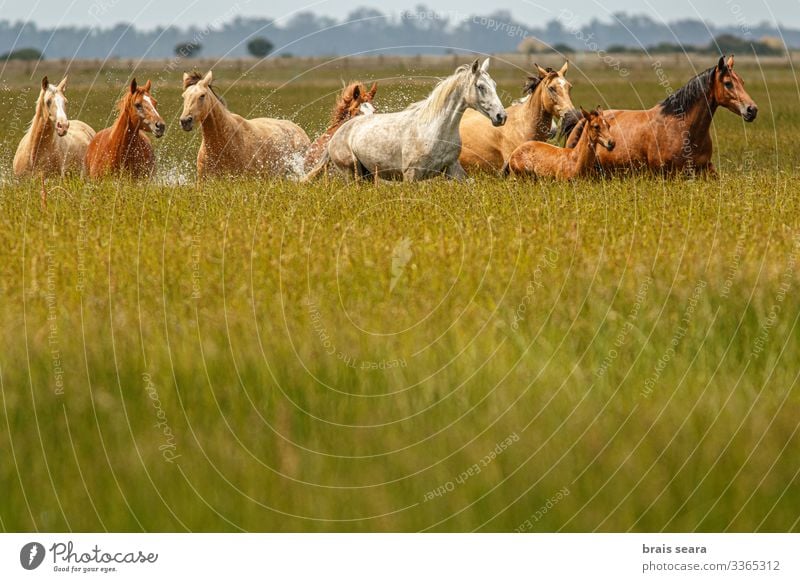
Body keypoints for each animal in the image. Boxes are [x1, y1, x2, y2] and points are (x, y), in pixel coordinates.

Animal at [304, 58, 510, 182]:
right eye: (480, 86)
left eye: (494, 85)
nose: (501, 116)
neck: (436, 130)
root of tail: (337, 134)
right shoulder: (412, 175)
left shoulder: (453, 169)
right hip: (352, 173)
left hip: (367, 175)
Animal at [564, 56, 756, 177]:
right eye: (728, 83)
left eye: (742, 82)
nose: (752, 110)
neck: (683, 128)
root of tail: (583, 119)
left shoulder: (704, 170)